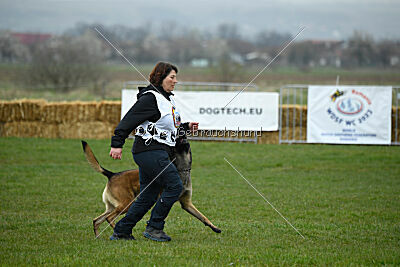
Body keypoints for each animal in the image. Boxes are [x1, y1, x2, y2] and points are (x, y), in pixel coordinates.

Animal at [79, 133, 220, 237]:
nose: (183, 133)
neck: (181, 168)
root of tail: (112, 174)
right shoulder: (165, 199)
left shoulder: (187, 203)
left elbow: (202, 217)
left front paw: (215, 228)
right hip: (126, 204)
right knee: (109, 218)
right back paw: (118, 231)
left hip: (114, 206)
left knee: (97, 220)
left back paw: (99, 237)